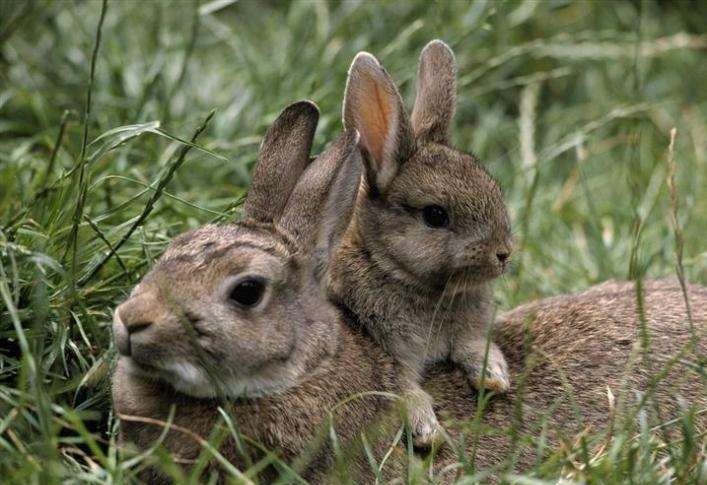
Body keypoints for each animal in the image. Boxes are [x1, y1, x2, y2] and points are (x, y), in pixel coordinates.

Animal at [326, 40, 516, 446]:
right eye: (435, 215)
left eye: (494, 190)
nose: (503, 254)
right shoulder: (389, 351)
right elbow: (404, 388)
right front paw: (427, 431)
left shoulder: (468, 331)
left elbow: (474, 346)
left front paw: (493, 377)